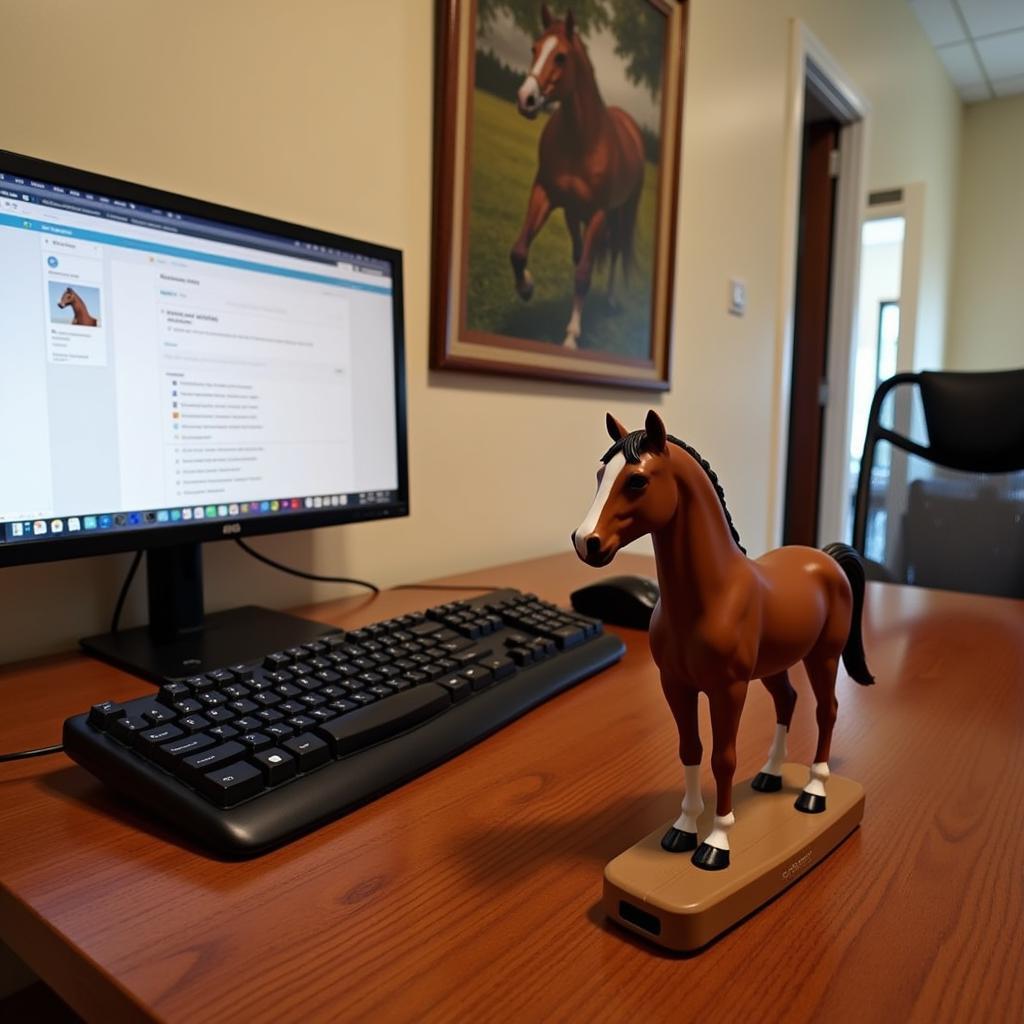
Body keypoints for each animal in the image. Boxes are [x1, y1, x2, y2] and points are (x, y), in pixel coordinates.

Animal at [509, 4, 643, 350]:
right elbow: (519, 251)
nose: (526, 99)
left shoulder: (598, 213)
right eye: (534, 49)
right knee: (582, 251)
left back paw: (609, 299)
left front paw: (571, 337)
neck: (582, 138)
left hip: (621, 211)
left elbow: (583, 275)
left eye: (561, 57)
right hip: (574, 212)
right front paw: (526, 287)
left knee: (615, 250)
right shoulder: (545, 194)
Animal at [569, 411, 872, 868]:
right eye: (601, 474)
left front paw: (716, 842)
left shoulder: (727, 690)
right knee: (788, 701)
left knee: (827, 711)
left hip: (822, 658)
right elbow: (691, 750)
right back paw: (770, 776)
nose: (585, 542)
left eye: (637, 481)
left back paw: (813, 792)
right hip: (775, 666)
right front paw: (683, 828)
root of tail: (826, 559)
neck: (713, 596)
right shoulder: (676, 685)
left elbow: (723, 758)